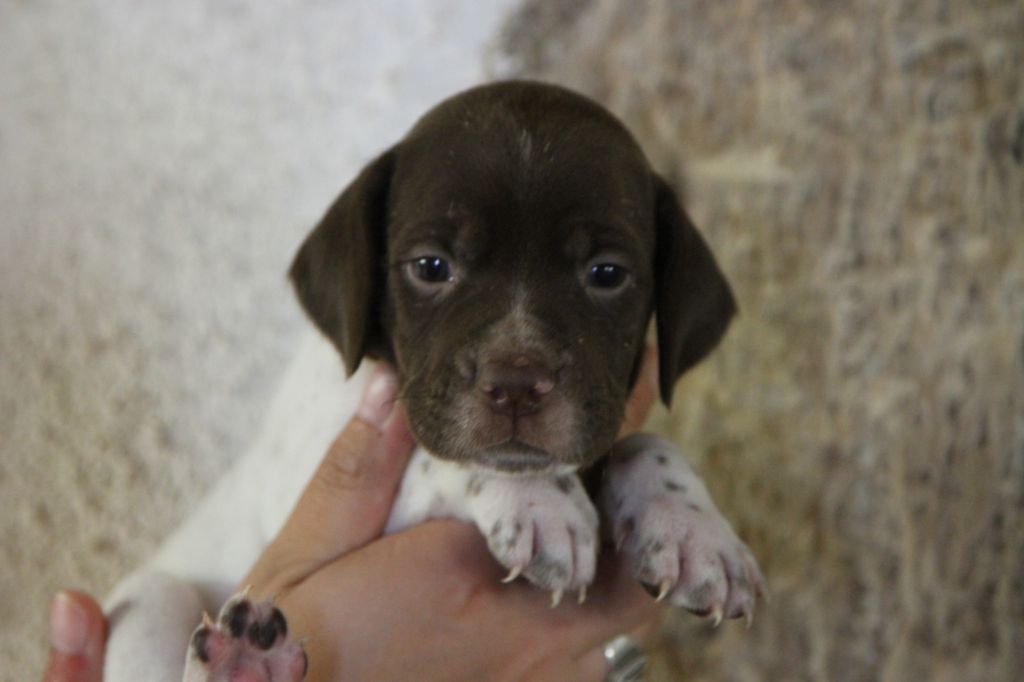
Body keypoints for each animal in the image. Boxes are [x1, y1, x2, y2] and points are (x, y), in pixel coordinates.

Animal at [103, 81, 764, 682]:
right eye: (430, 266)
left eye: (607, 274)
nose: (516, 385)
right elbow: (435, 457)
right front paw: (537, 500)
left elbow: (644, 443)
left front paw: (691, 525)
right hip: (153, 597)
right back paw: (241, 663)